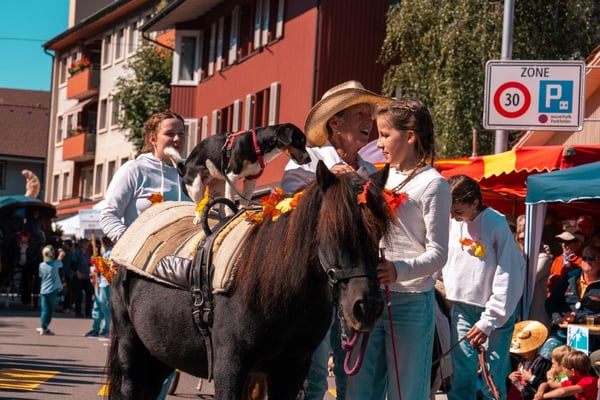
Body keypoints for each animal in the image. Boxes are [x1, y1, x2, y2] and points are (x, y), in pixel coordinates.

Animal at [106, 161, 392, 400]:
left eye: (378, 232)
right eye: (334, 228)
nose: (366, 307)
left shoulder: (291, 371)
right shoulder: (230, 367)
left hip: (160, 354)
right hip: (132, 349)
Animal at [165, 123, 311, 223]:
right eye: (299, 141)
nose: (309, 159)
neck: (258, 145)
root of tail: (184, 168)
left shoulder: (252, 179)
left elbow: (244, 201)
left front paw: (243, 213)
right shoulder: (232, 176)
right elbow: (230, 200)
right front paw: (232, 215)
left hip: (220, 185)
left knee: (220, 203)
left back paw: (221, 216)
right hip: (195, 186)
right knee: (199, 204)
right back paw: (198, 218)